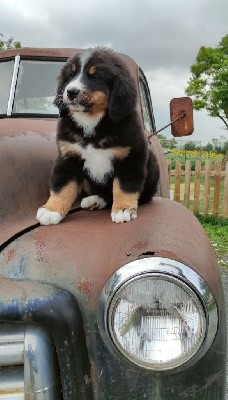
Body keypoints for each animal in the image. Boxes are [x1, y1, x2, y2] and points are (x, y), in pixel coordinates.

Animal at [36, 47, 159, 225]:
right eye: (71, 75)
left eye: (95, 76)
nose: (70, 92)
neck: (91, 122)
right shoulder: (68, 157)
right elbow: (62, 186)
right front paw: (52, 210)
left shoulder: (130, 157)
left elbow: (124, 186)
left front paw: (123, 209)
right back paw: (94, 200)